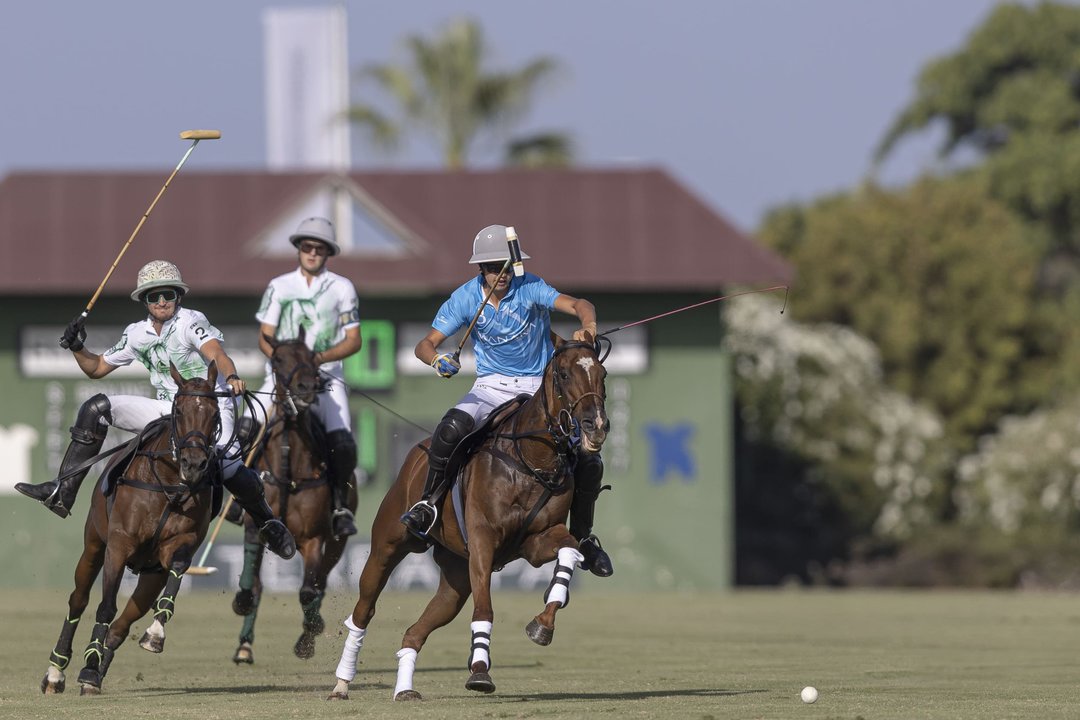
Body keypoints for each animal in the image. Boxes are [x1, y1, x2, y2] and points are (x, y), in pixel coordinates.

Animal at [38, 362, 223, 695]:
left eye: (215, 414)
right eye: (179, 411)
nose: (194, 464)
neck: (170, 484)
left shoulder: (179, 545)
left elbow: (177, 569)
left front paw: (155, 635)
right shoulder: (118, 545)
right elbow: (105, 607)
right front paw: (85, 665)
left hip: (151, 575)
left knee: (123, 624)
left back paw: (97, 671)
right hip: (93, 544)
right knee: (79, 599)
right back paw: (57, 672)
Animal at [232, 334, 358, 669]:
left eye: (313, 357)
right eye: (277, 359)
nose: (306, 387)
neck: (289, 465)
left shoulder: (314, 538)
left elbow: (307, 591)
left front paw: (309, 636)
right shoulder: (256, 526)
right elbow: (253, 584)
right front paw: (242, 602)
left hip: (337, 541)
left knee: (320, 583)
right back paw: (244, 646)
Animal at [324, 334, 613, 699]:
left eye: (602, 374)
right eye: (562, 374)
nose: (596, 427)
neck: (531, 459)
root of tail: (416, 454)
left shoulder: (537, 541)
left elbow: (570, 551)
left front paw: (544, 622)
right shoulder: (482, 542)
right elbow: (484, 608)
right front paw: (479, 671)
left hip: (456, 576)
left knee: (415, 630)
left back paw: (404, 689)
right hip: (387, 545)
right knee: (364, 609)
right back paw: (342, 682)